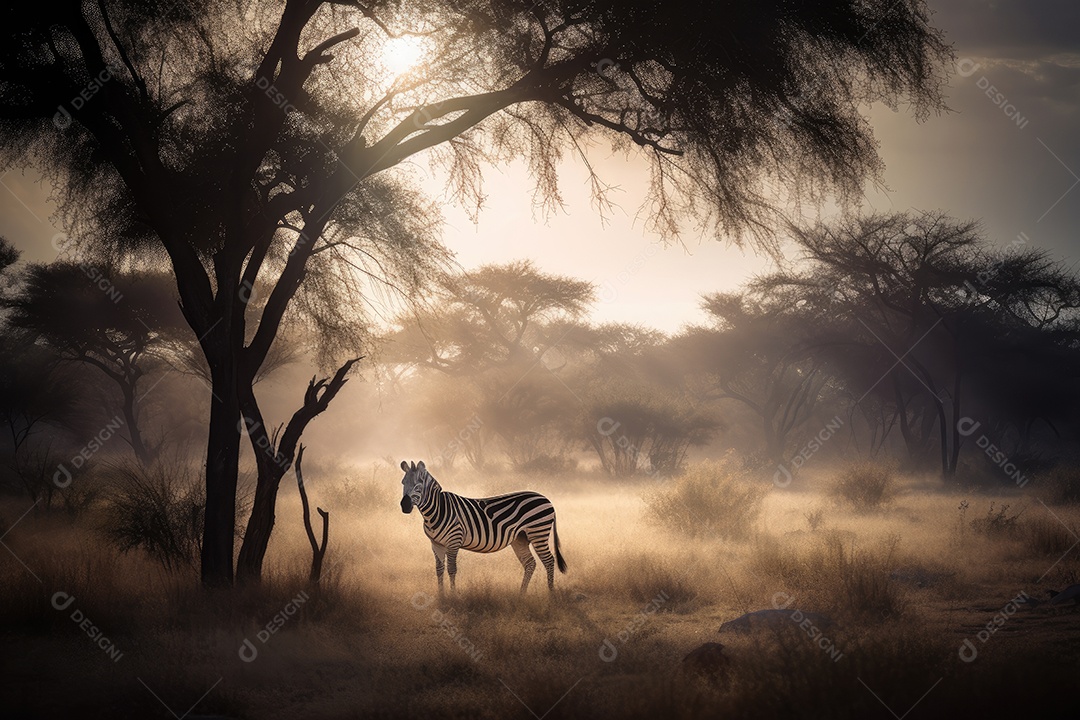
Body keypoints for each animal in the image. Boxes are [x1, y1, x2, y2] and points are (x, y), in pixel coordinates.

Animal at [397, 459, 565, 595]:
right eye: (403, 482)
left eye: (418, 486)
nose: (404, 506)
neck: (438, 510)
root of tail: (547, 499)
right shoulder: (436, 544)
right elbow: (439, 569)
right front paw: (441, 596)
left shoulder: (454, 541)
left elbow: (451, 569)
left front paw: (452, 596)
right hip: (520, 538)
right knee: (530, 564)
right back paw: (521, 595)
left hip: (538, 532)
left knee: (549, 560)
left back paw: (551, 594)